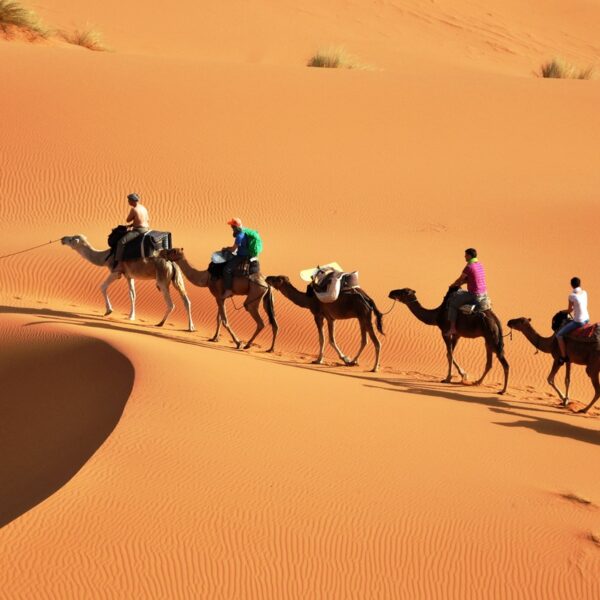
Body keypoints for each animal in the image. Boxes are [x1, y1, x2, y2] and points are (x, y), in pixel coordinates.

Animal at [60, 234, 193, 330]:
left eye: (71, 239)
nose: (63, 239)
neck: (106, 257)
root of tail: (172, 262)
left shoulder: (116, 272)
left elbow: (102, 287)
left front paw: (109, 311)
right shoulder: (129, 276)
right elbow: (132, 294)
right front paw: (131, 316)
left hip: (162, 279)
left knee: (171, 304)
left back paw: (160, 323)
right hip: (177, 279)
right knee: (186, 300)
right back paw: (190, 327)